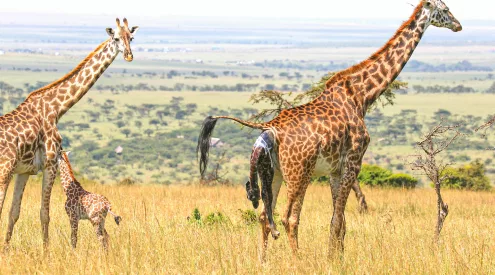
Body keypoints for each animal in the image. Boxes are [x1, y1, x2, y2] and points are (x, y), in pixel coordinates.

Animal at [0, 18, 138, 249]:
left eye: (132, 37)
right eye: (116, 38)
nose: (129, 55)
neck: (57, 108)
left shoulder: (24, 171)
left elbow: (14, 213)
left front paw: (6, 249)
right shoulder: (50, 163)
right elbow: (44, 214)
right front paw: (46, 252)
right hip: (3, 171)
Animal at [200, 0, 464, 260]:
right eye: (445, 9)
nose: (458, 25)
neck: (361, 96)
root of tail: (270, 128)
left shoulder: (334, 170)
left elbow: (340, 221)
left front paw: (336, 258)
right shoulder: (353, 163)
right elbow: (338, 219)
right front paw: (333, 260)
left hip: (272, 173)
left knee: (265, 215)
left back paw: (263, 262)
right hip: (299, 173)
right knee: (289, 218)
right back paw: (299, 261)